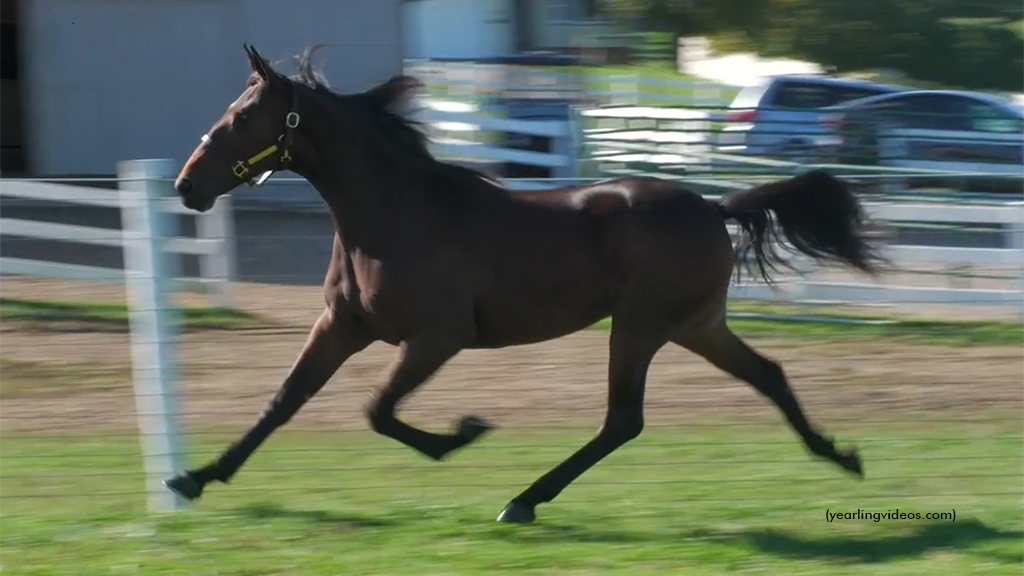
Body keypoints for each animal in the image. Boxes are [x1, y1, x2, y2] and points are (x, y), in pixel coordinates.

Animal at [164, 44, 882, 524]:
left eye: (243, 117)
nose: (187, 185)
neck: (395, 214)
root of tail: (713, 204)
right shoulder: (345, 324)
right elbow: (285, 399)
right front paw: (195, 478)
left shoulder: (437, 337)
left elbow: (379, 411)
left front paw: (464, 432)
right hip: (696, 326)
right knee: (768, 376)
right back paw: (840, 455)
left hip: (642, 325)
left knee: (623, 419)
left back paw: (524, 500)